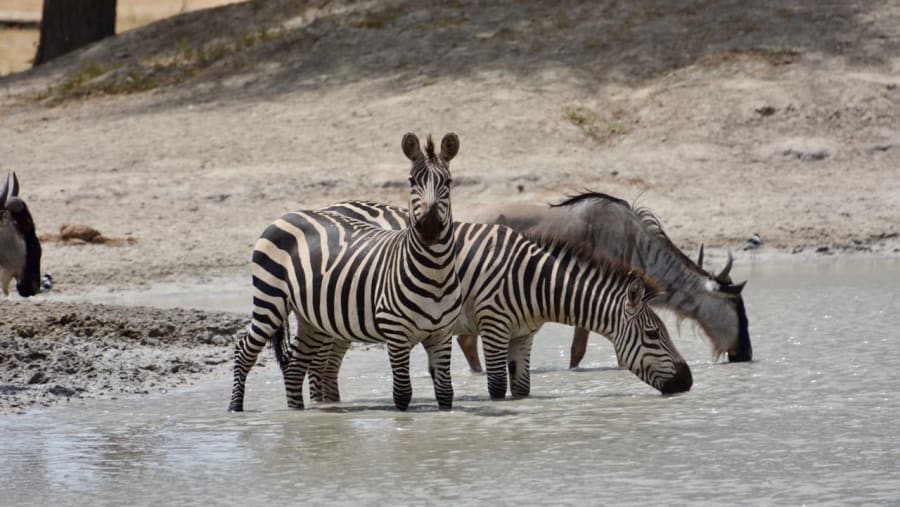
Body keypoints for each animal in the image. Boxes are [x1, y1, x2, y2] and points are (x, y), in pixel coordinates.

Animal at [229, 133, 463, 412]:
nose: (429, 228)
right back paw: (235, 409)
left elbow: (446, 393)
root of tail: (286, 215)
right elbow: (402, 394)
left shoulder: (442, 334)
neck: (434, 274)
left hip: (310, 317)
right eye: (412, 181)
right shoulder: (395, 333)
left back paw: (297, 413)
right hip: (269, 300)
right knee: (244, 351)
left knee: (295, 365)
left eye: (448, 182)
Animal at [308, 201, 693, 402]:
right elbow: (497, 387)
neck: (533, 282)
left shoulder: (523, 335)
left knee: (325, 371)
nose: (688, 382)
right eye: (654, 334)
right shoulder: (494, 326)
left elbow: (521, 388)